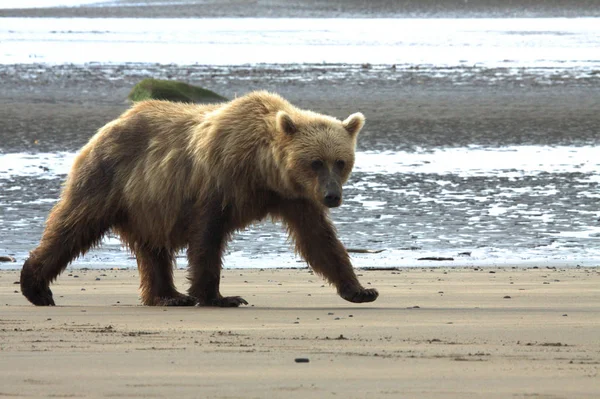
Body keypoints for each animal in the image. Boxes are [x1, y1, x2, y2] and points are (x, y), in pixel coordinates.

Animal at [21, 92, 378, 308]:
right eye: (315, 162)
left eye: (340, 162)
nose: (332, 196)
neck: (260, 170)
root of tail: (107, 126)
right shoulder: (216, 183)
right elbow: (207, 237)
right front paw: (219, 296)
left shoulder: (295, 197)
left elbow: (319, 240)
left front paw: (361, 290)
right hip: (109, 180)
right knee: (73, 225)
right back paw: (36, 288)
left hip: (147, 204)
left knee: (152, 250)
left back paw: (168, 295)